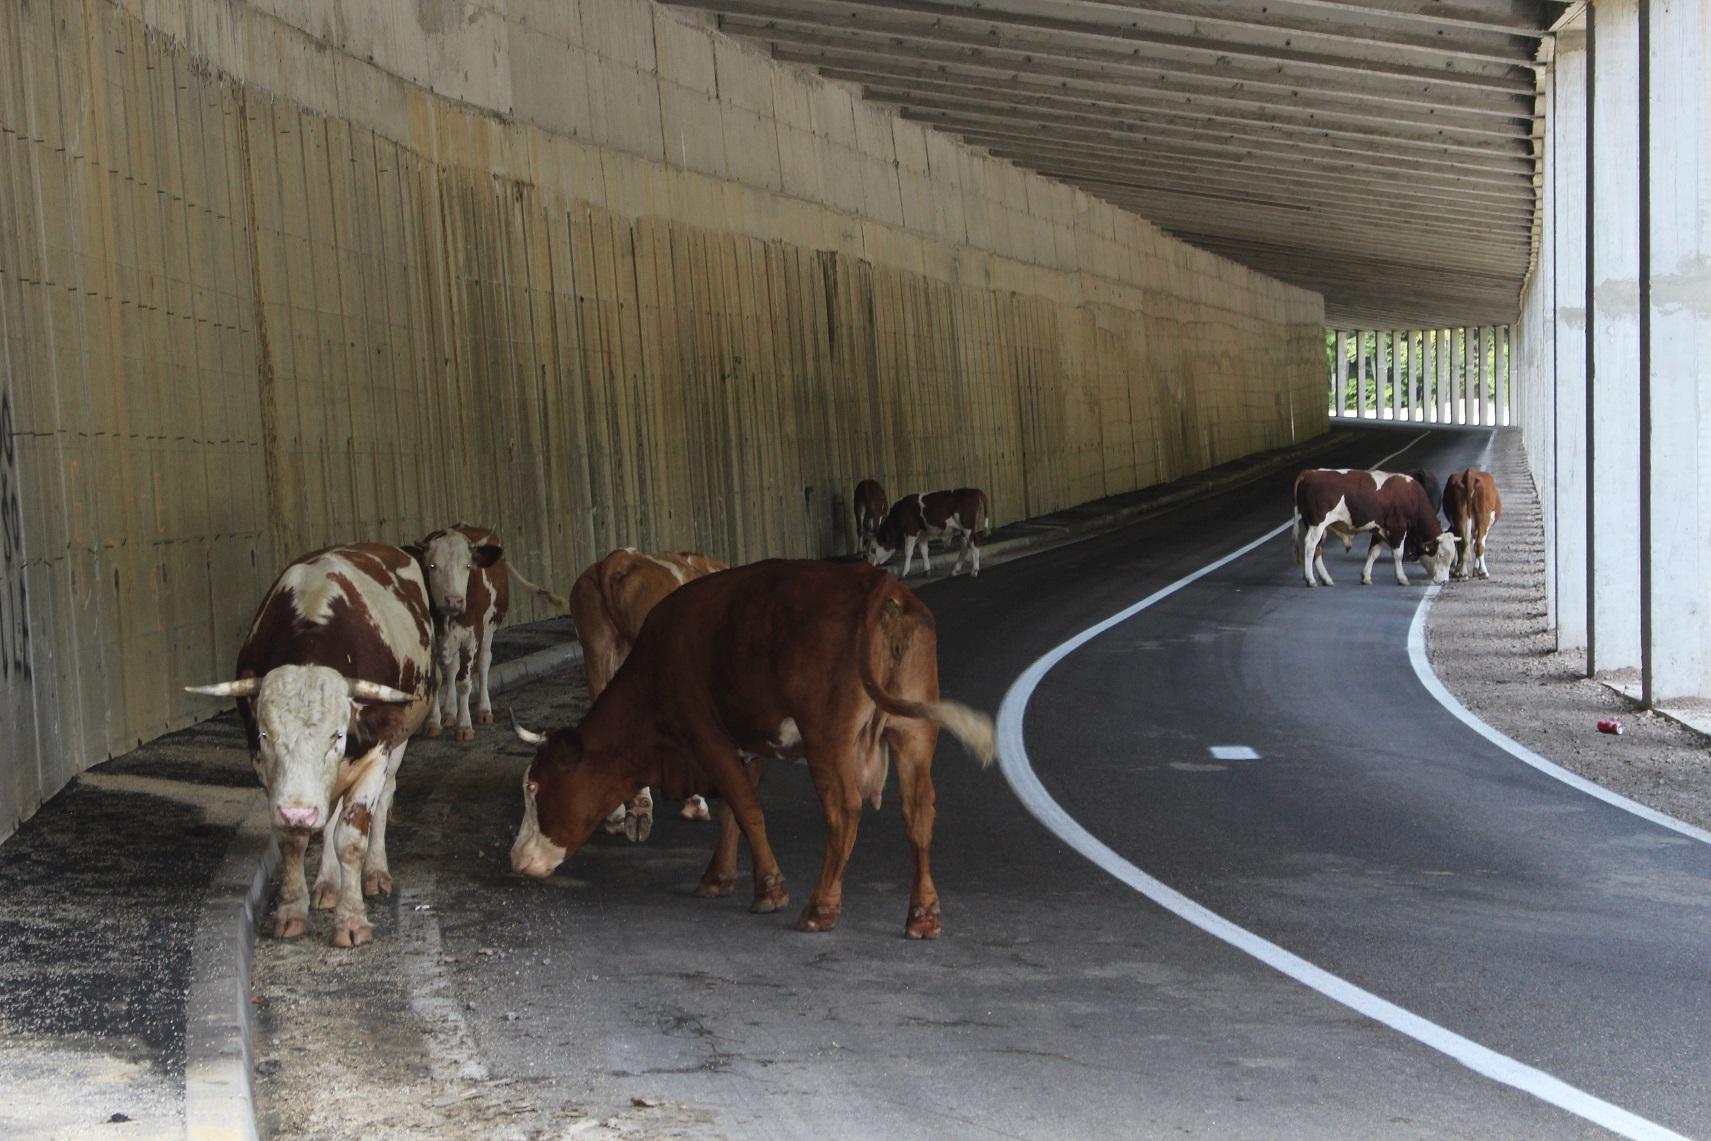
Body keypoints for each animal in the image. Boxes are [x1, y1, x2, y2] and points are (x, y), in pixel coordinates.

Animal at [184, 543, 438, 944]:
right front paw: (292, 911)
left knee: (384, 800)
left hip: (399, 743)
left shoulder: (375, 755)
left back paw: (375, 873)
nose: (299, 812)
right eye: (265, 734)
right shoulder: (268, 773)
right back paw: (327, 884)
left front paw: (351, 921)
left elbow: (350, 838)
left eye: (338, 735)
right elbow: (294, 839)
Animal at [403, 523, 564, 745]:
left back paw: (483, 710)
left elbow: (464, 682)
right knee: (452, 668)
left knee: (484, 662)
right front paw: (434, 723)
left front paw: (464, 726)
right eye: (432, 566)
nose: (453, 600)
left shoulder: (472, 636)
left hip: (488, 629)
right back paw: (450, 713)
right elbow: (437, 679)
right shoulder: (431, 638)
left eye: (467, 566)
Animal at [1293, 468, 1457, 588]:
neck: (1411, 497)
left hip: (1316, 527)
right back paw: (1310, 579)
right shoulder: (1397, 527)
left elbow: (1373, 552)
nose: (1444, 581)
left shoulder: (1379, 529)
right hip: (1317, 524)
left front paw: (1365, 576)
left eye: (1451, 558)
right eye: (1440, 555)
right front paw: (1402, 578)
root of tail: (1310, 472)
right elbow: (1398, 554)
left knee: (1317, 549)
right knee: (1310, 546)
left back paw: (1326, 578)